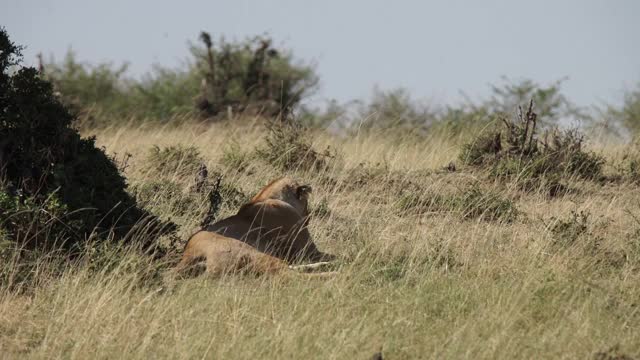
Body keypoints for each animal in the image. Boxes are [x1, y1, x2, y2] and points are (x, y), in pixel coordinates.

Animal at [172, 176, 338, 278]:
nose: (309, 218)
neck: (267, 197)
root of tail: (188, 257)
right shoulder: (308, 251)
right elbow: (336, 254)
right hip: (254, 254)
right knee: (290, 275)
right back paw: (335, 273)